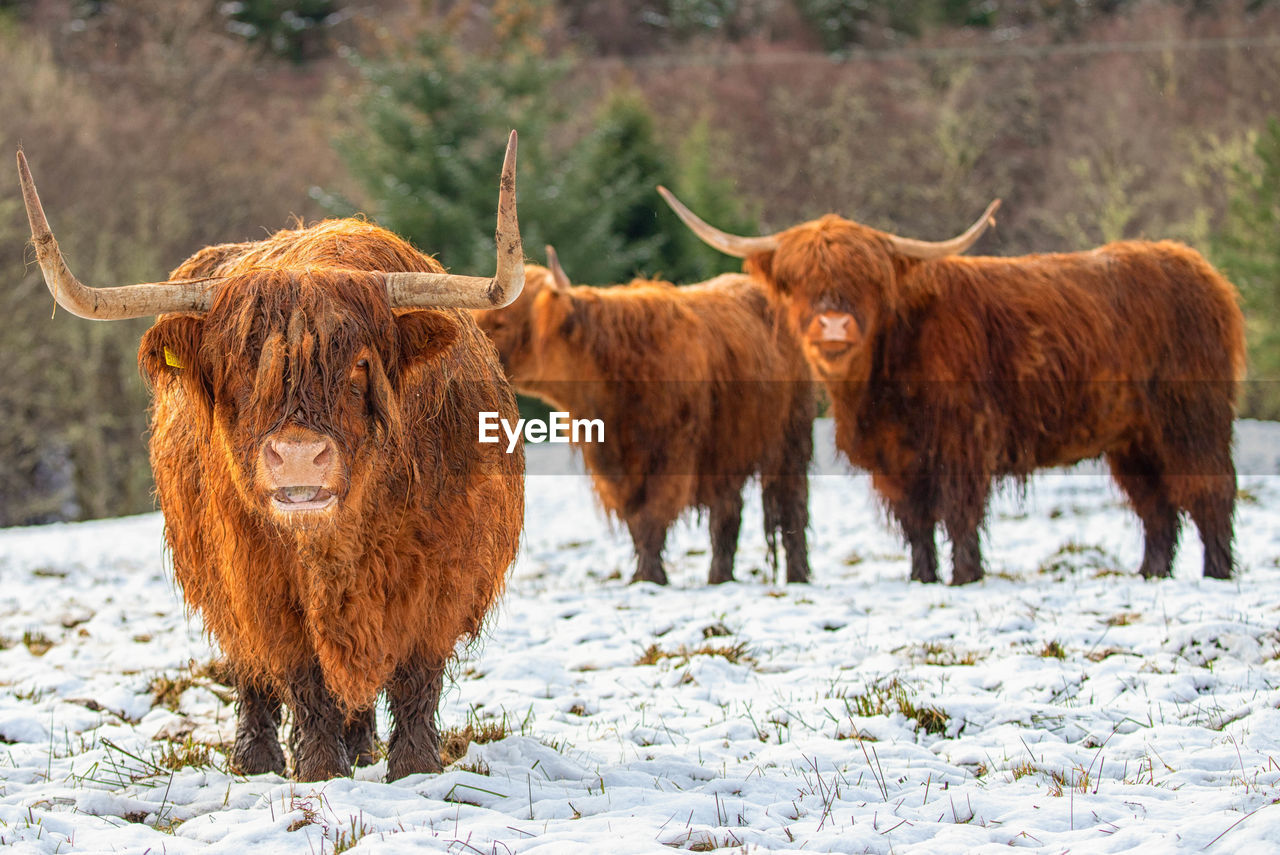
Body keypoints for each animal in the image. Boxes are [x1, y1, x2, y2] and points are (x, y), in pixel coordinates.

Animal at [15, 135, 524, 783]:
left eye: (359, 365)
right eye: (240, 370)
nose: (299, 458)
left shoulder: (444, 576)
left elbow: (416, 677)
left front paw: (413, 767)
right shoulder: (261, 582)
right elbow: (302, 675)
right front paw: (318, 767)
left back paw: (362, 748)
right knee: (251, 670)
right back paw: (256, 757)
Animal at [471, 243, 808, 583]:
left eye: (503, 320)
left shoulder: (672, 453)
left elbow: (652, 515)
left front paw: (649, 576)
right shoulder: (613, 466)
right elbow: (635, 518)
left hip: (789, 434)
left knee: (791, 504)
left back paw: (797, 574)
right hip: (728, 447)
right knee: (727, 511)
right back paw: (719, 576)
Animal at [665, 185, 1244, 588]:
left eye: (867, 280)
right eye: (798, 279)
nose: (833, 325)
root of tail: (1199, 268)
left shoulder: (965, 438)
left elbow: (961, 512)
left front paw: (966, 575)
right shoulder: (895, 457)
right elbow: (917, 520)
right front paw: (921, 576)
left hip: (1191, 420)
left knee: (1208, 491)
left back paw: (1216, 572)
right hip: (1133, 437)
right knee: (1156, 506)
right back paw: (1152, 573)